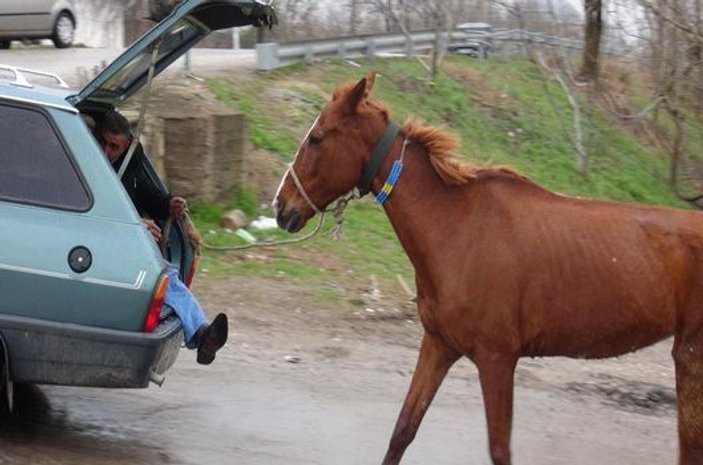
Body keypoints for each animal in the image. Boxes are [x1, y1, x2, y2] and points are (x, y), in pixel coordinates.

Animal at [272, 72, 703, 464]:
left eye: (317, 138)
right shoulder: (439, 345)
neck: (458, 227)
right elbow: (403, 430)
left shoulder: (497, 359)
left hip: (689, 358)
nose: (281, 205)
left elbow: (499, 450)